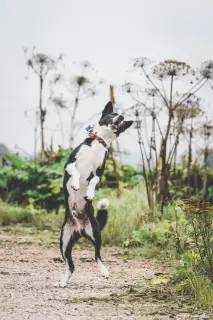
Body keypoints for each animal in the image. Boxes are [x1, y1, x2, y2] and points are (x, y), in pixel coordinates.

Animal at [56, 102, 133, 288]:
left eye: (121, 119)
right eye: (112, 114)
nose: (120, 117)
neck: (98, 143)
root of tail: (79, 230)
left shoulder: (99, 172)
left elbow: (93, 181)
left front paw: (89, 193)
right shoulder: (69, 164)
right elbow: (76, 172)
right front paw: (76, 184)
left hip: (96, 235)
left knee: (97, 256)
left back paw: (104, 271)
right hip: (63, 242)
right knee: (70, 265)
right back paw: (63, 281)